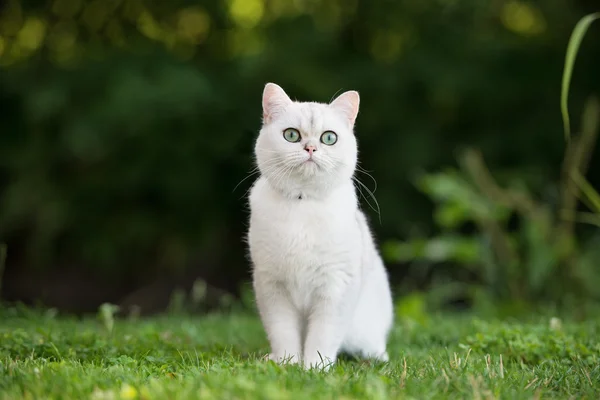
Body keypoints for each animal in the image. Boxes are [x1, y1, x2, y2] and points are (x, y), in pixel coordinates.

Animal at [247, 83, 394, 370]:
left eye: (328, 138)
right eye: (291, 135)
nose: (311, 148)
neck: (303, 202)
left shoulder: (336, 285)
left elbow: (323, 334)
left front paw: (315, 368)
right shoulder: (272, 285)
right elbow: (282, 332)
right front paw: (287, 363)